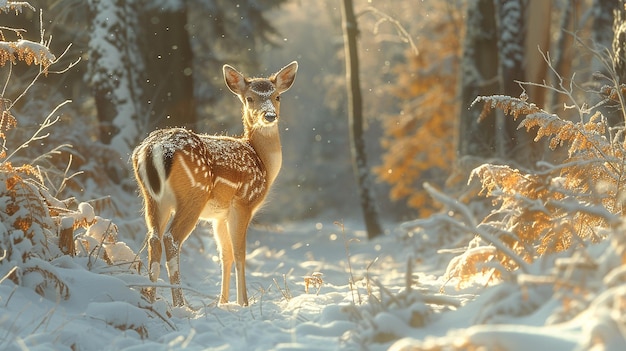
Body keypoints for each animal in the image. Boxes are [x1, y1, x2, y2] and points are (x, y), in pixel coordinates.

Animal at [130, 62, 296, 306]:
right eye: (249, 98)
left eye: (277, 96)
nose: (269, 116)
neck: (263, 161)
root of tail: (155, 149)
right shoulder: (243, 202)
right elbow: (239, 252)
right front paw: (243, 303)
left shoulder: (219, 216)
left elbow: (225, 254)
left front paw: (223, 302)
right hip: (194, 194)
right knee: (171, 239)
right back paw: (181, 304)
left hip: (152, 198)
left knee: (153, 239)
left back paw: (150, 299)